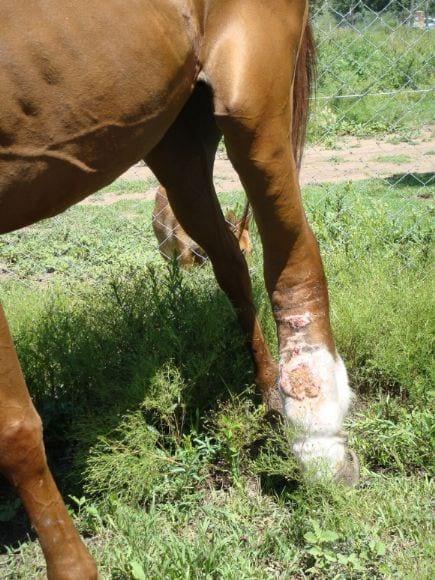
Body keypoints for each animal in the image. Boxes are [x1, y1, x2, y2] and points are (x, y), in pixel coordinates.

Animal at [0, 2, 360, 576]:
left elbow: (14, 427)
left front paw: (72, 566)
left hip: (250, 98)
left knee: (293, 258)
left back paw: (318, 444)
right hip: (176, 139)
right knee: (232, 262)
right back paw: (270, 397)